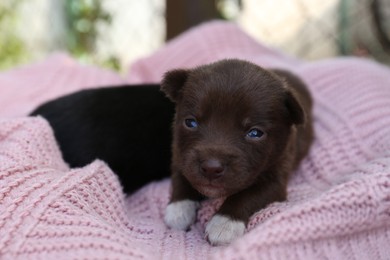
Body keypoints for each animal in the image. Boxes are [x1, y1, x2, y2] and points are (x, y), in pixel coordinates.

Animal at [161, 59, 314, 246]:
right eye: (190, 122)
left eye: (255, 133)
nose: (211, 168)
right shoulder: (180, 155)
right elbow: (181, 178)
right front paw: (179, 209)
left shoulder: (277, 177)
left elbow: (248, 194)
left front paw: (224, 223)